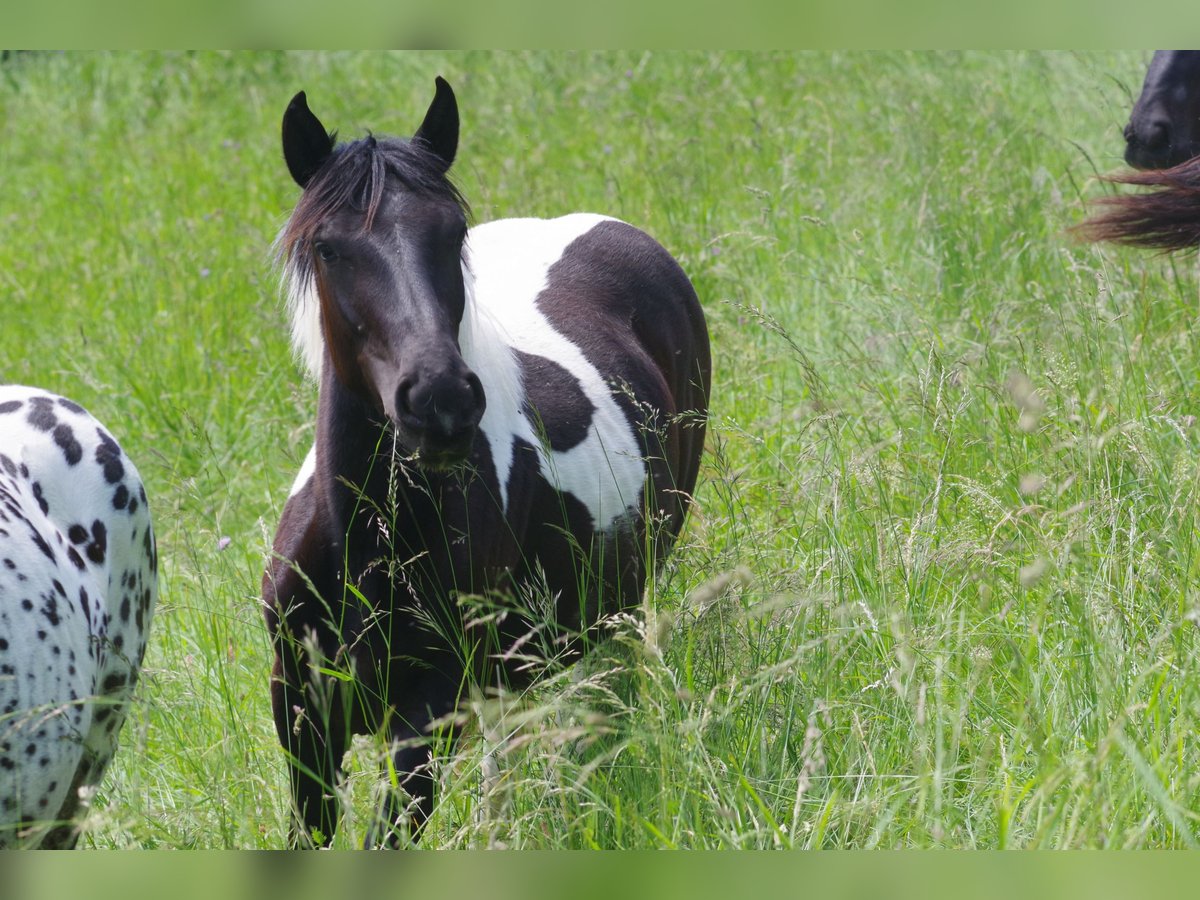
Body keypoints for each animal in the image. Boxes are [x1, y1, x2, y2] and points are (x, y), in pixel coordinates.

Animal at [262, 79, 705, 854]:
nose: (440, 400)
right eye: (328, 246)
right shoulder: (301, 713)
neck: (367, 544)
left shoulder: (427, 713)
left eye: (452, 233)